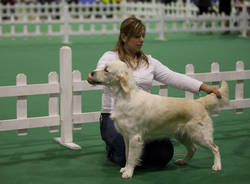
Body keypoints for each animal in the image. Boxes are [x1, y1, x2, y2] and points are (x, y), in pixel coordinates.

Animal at [87, 60, 229, 178]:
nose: (92, 73)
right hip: (182, 134)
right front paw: (125, 168)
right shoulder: (126, 136)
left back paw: (217, 166)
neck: (124, 97)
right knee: (193, 149)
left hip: (200, 134)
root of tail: (199, 102)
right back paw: (182, 161)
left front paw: (128, 172)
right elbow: (127, 154)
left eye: (106, 70)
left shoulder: (134, 137)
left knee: (215, 148)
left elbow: (132, 156)